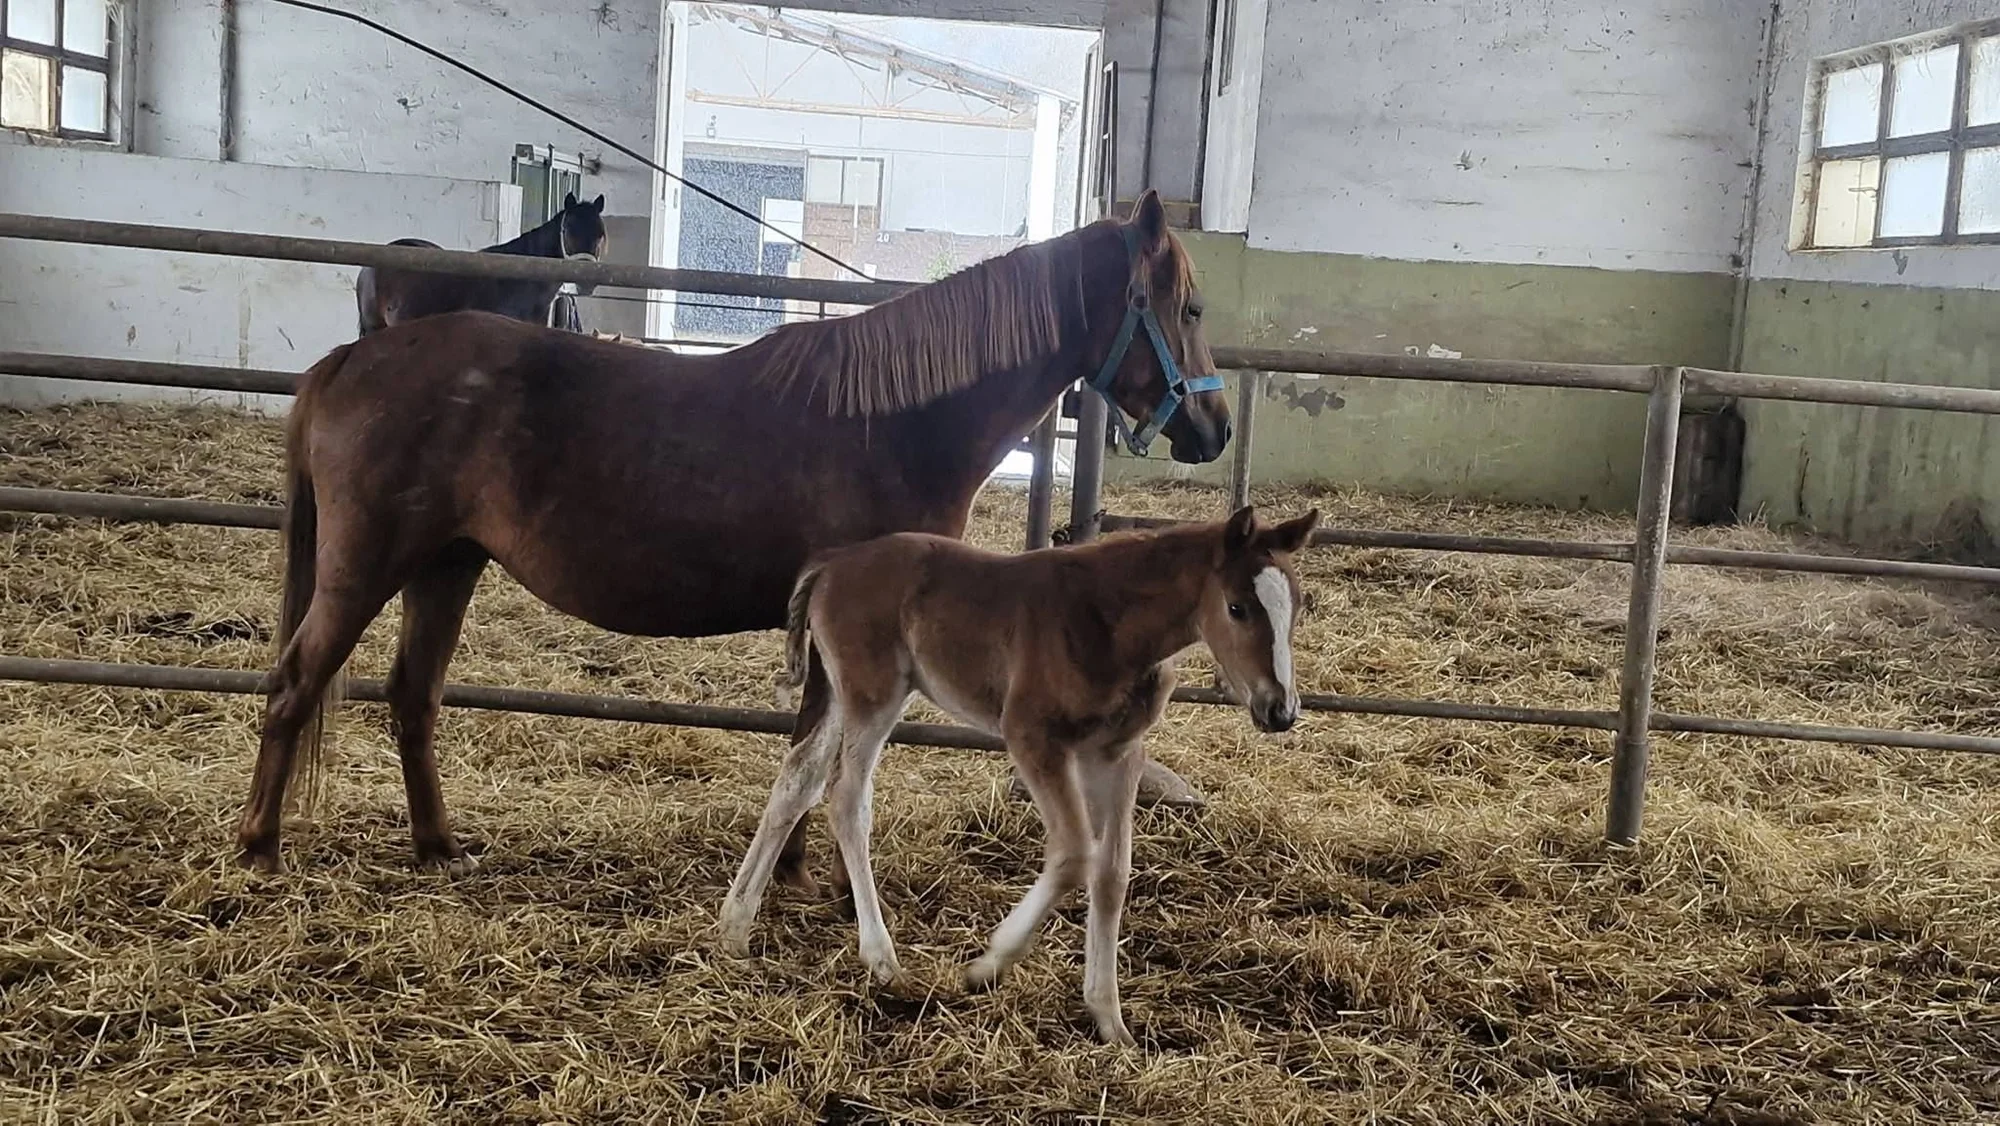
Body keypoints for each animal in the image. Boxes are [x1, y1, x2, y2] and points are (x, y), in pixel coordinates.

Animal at [719, 505, 1320, 1046]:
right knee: (847, 797)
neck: (1108, 621)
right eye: (1237, 607)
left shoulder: (1116, 753)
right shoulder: (1034, 738)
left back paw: (735, 926)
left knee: (798, 777)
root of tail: (833, 563)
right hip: (874, 694)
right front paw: (988, 964)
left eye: (1297, 608)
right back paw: (883, 959)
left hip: (848, 692)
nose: (1280, 710)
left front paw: (1110, 1019)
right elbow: (1075, 853)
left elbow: (1112, 873)